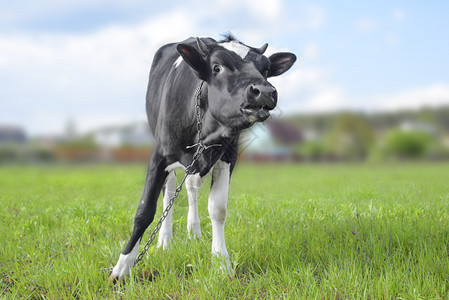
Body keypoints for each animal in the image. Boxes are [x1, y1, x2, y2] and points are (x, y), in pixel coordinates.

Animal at [110, 34, 296, 280]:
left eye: (265, 69)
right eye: (216, 67)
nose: (264, 91)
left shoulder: (228, 157)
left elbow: (218, 209)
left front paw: (221, 263)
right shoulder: (159, 156)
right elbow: (145, 211)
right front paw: (122, 267)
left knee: (191, 188)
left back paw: (194, 230)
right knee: (169, 192)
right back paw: (164, 240)